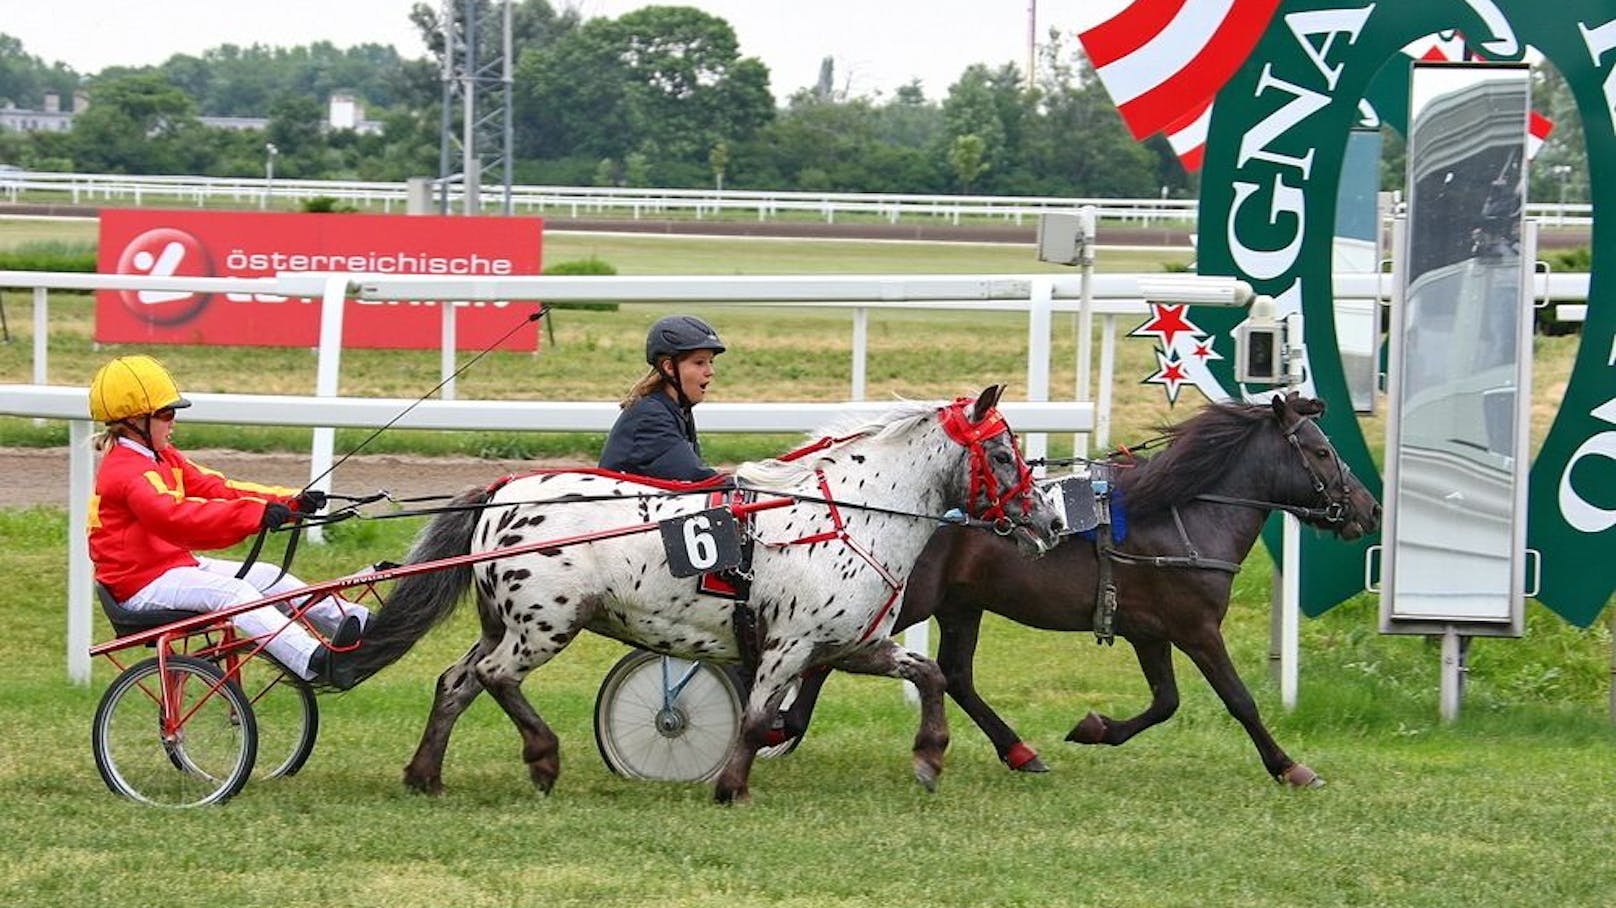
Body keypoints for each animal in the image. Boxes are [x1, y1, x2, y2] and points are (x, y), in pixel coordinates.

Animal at [775, 390, 1383, 785]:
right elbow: (1240, 699)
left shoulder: (1150, 631)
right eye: (1323, 452)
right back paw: (788, 723)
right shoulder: (1197, 627)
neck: (1184, 515)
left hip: (961, 604)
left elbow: (1165, 702)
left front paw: (1095, 728)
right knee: (837, 655)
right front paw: (1290, 766)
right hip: (909, 601)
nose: (1370, 509)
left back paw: (1019, 751)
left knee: (957, 676)